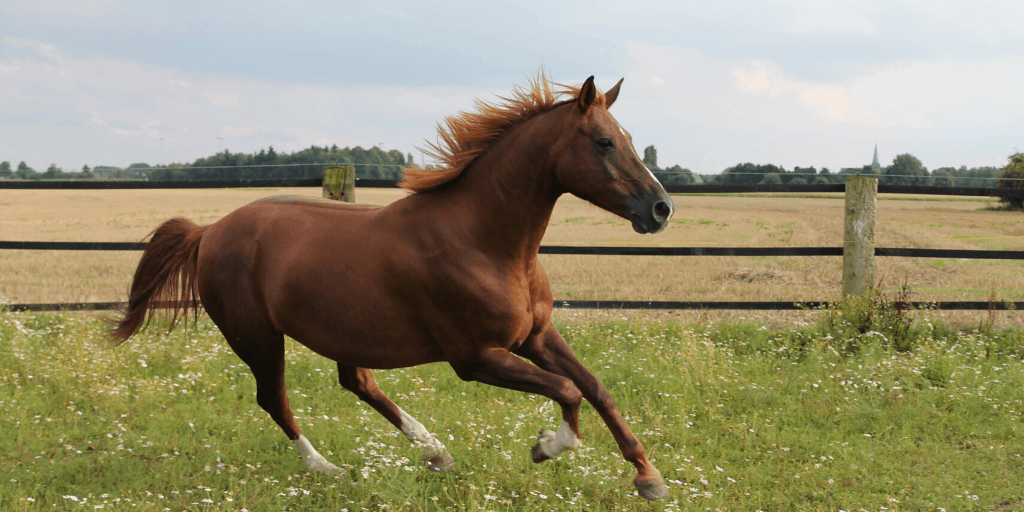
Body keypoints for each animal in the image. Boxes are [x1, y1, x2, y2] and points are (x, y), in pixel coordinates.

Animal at [110, 73, 675, 500]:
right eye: (604, 142)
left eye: (628, 137)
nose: (661, 209)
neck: (484, 241)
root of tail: (209, 232)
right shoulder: (475, 357)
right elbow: (567, 390)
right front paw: (545, 447)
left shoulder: (536, 336)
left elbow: (595, 387)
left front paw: (649, 478)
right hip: (257, 338)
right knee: (275, 399)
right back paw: (328, 469)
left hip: (341, 331)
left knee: (357, 383)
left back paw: (435, 452)